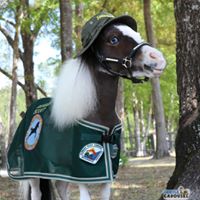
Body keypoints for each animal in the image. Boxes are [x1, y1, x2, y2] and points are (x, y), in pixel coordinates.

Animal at [7, 12, 166, 200]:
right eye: (113, 39)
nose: (158, 59)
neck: (100, 115)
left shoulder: (105, 176)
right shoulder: (81, 175)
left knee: (61, 189)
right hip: (32, 172)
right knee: (37, 192)